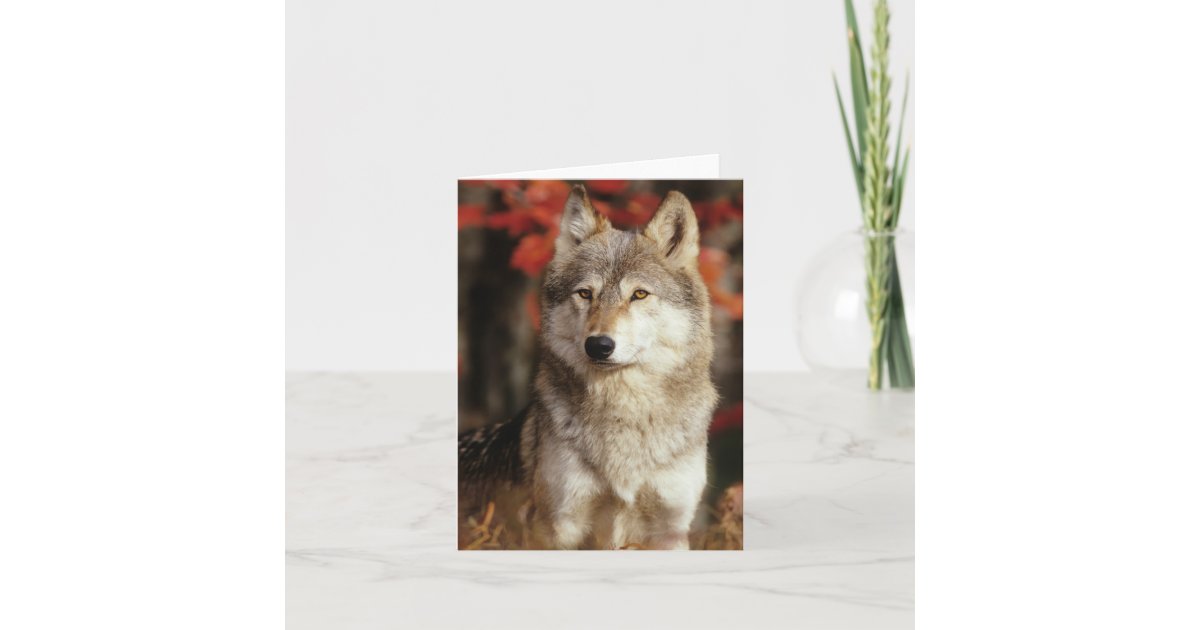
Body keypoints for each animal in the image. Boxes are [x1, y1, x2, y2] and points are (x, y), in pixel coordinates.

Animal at [459, 185, 718, 550]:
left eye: (639, 294)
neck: (625, 417)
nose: (598, 345)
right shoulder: (558, 527)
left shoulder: (671, 528)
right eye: (585, 293)